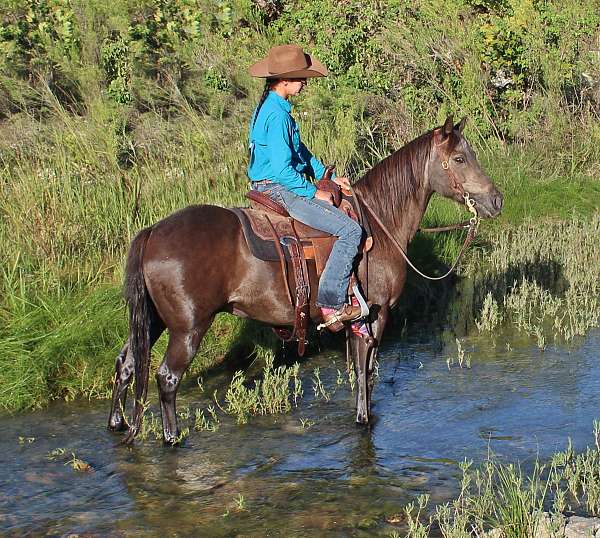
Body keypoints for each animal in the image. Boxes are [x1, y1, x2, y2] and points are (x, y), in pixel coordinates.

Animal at [106, 115, 502, 442]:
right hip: (188, 328)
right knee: (166, 377)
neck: (380, 223)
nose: (496, 201)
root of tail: (153, 233)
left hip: (154, 320)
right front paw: (364, 420)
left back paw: (118, 424)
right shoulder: (375, 314)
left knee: (127, 363)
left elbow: (362, 370)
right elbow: (365, 371)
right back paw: (172, 439)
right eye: (460, 159)